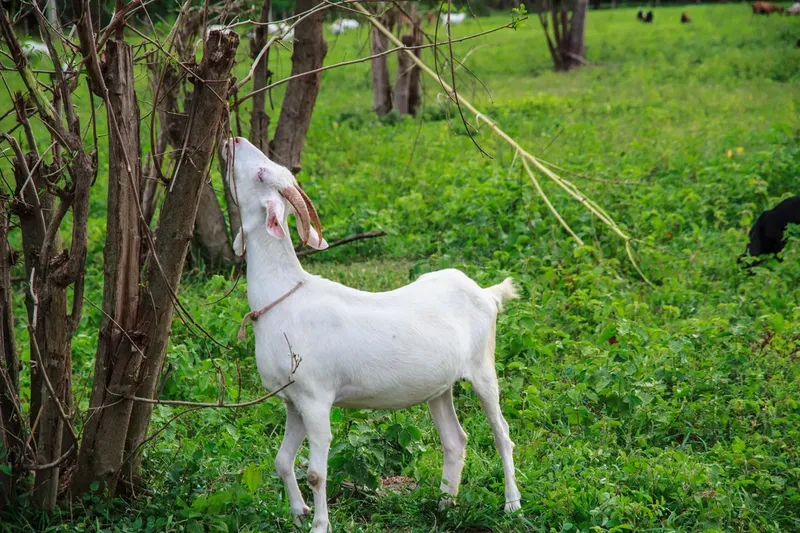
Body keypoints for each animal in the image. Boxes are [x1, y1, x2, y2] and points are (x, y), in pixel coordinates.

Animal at [221, 137, 522, 533]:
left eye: (260, 172)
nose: (234, 140)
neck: (283, 296)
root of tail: (486, 293)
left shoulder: (316, 399)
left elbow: (315, 472)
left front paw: (319, 525)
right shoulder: (293, 400)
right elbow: (283, 460)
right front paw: (299, 512)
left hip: (483, 369)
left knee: (502, 433)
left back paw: (512, 504)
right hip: (439, 387)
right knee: (455, 439)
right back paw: (444, 504)